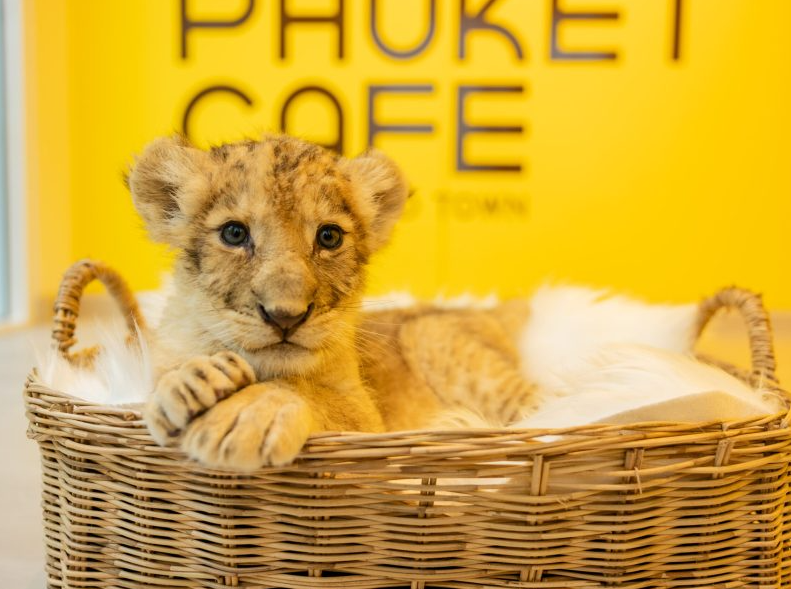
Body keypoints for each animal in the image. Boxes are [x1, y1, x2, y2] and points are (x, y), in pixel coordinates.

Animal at [129, 134, 535, 471]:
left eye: (329, 237)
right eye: (233, 233)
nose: (286, 317)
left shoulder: (368, 421)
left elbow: (304, 389)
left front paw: (244, 415)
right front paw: (191, 382)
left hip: (432, 336)